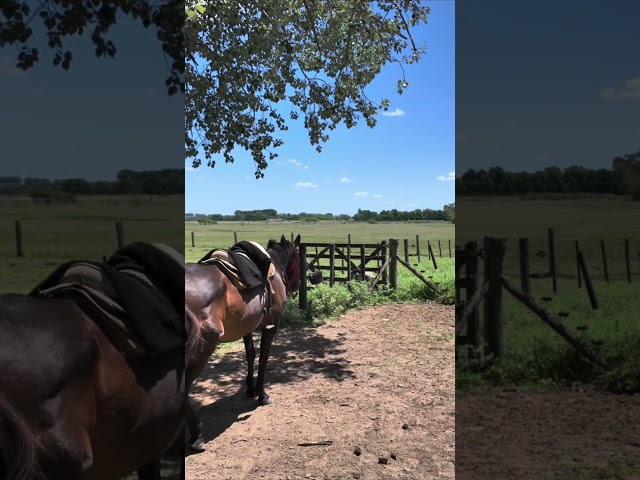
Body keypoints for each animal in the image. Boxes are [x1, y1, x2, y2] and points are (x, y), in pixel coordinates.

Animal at [184, 234, 302, 452]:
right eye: (298, 257)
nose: (297, 284)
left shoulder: (246, 325)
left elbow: (250, 355)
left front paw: (249, 387)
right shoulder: (271, 326)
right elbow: (263, 358)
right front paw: (262, 394)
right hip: (201, 350)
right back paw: (197, 434)